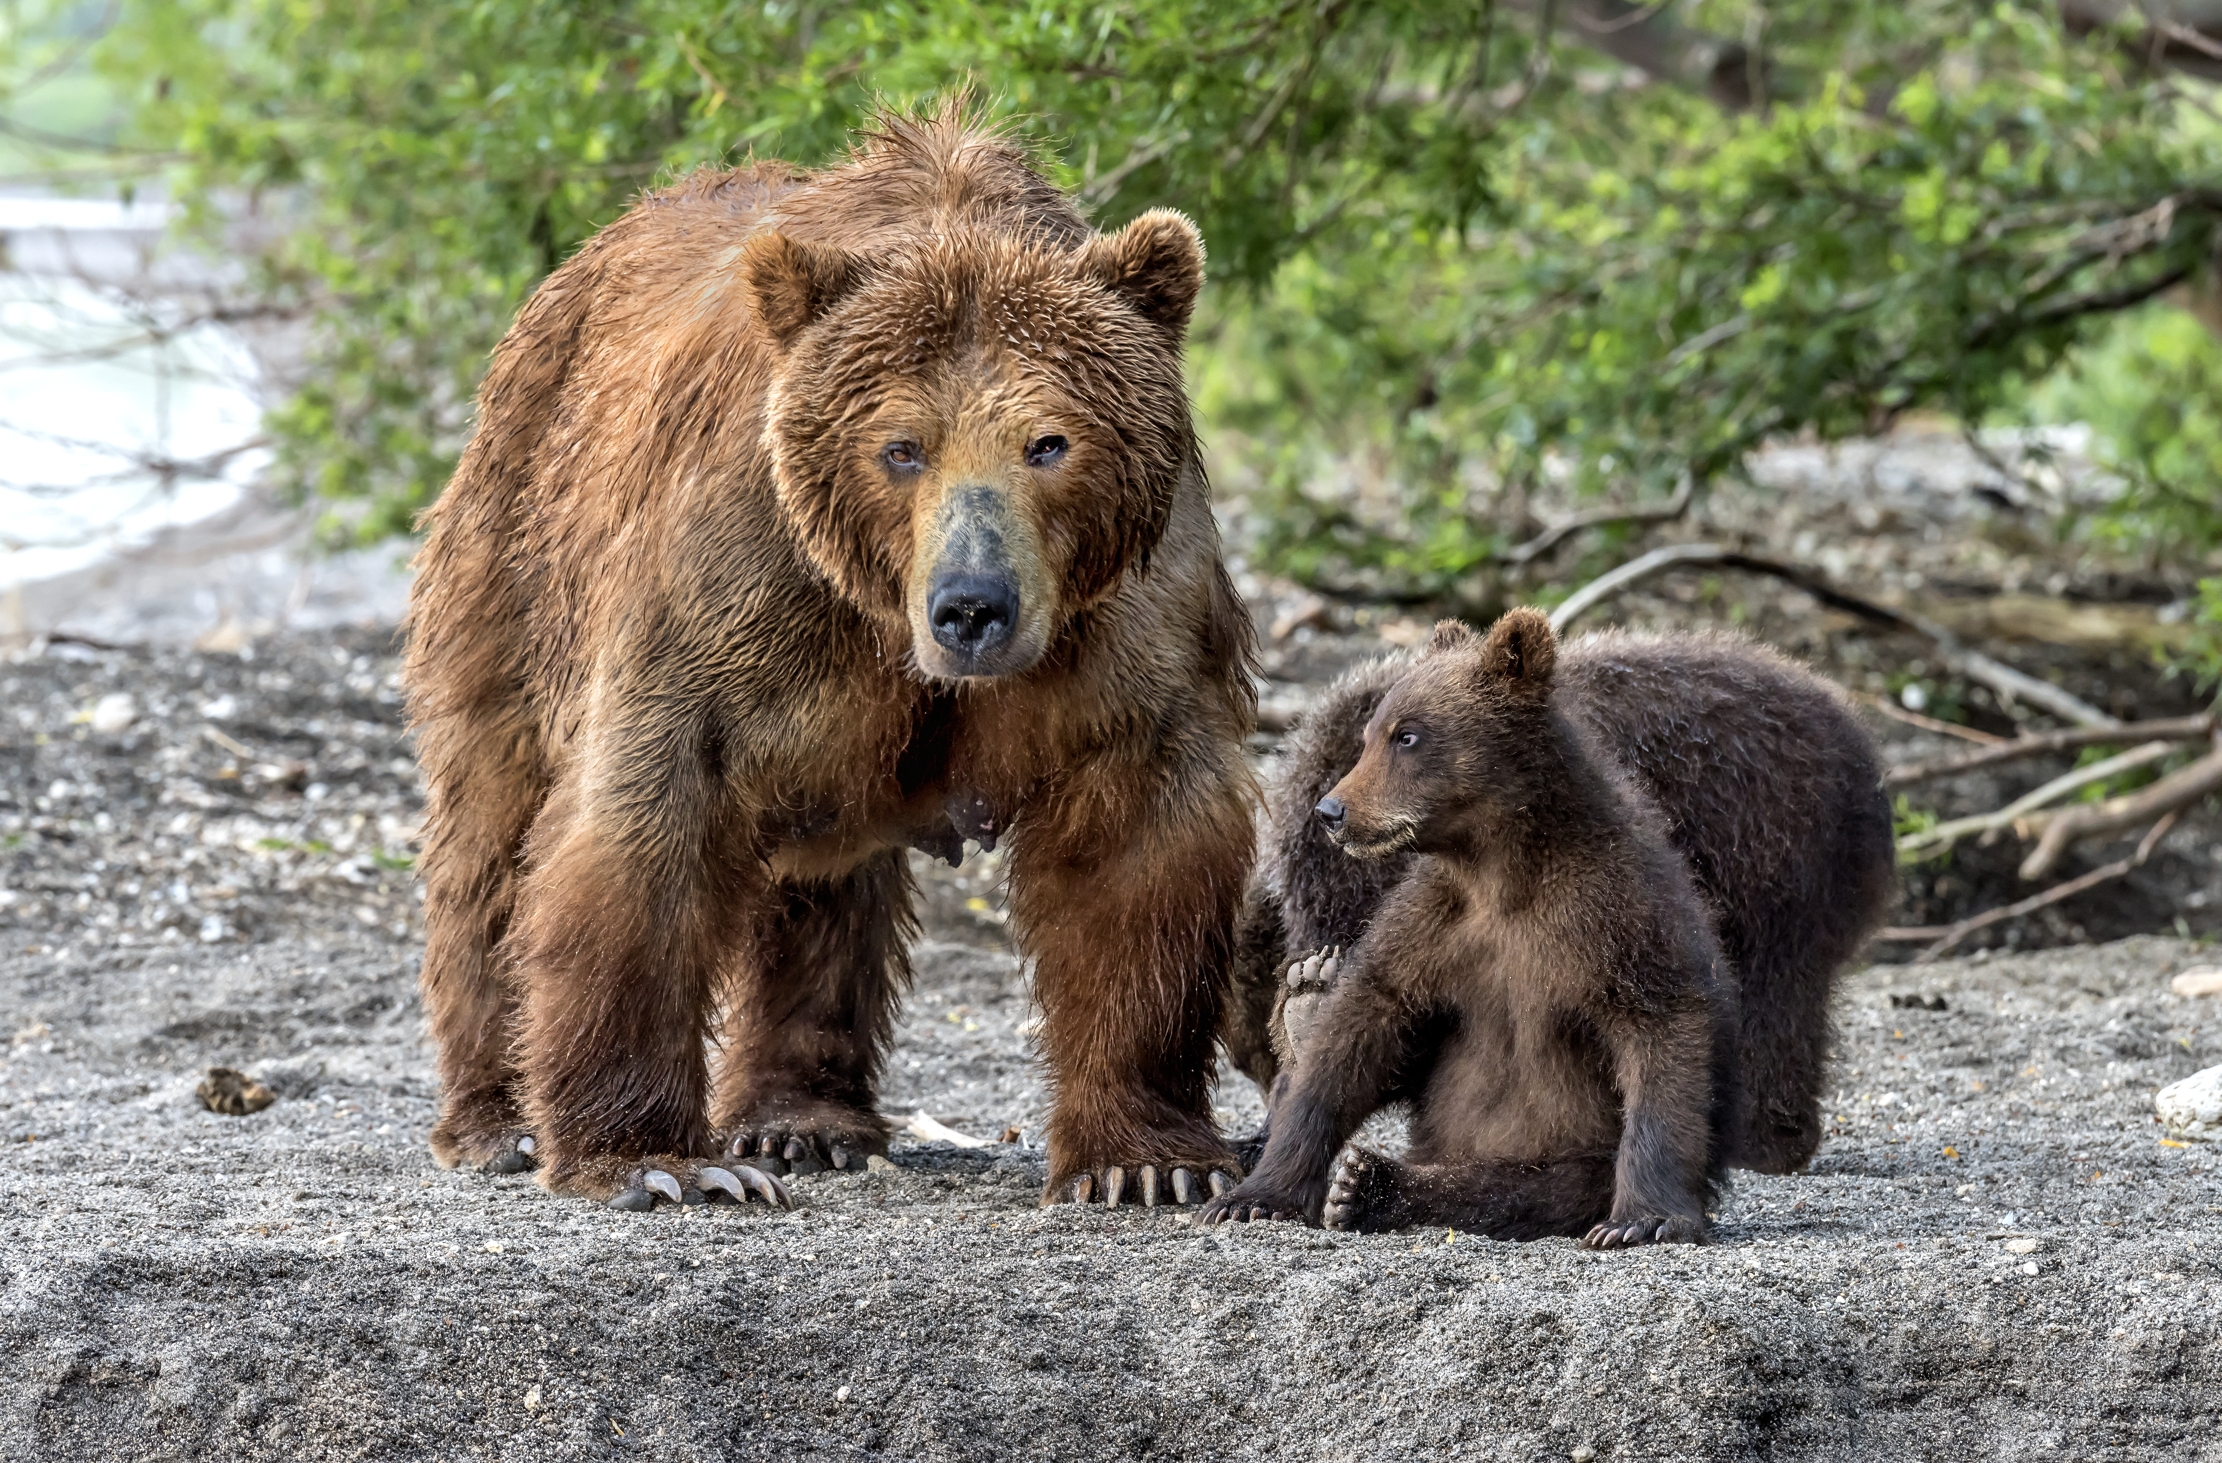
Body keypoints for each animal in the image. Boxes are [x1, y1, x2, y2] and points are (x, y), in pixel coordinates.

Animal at [402, 102, 1257, 1210]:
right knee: (491, 827)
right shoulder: (737, 583)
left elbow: (1137, 848)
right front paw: (661, 1160)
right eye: (900, 446)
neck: (885, 619)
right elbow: (639, 832)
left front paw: (1146, 1159)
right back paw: (494, 1116)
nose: (971, 607)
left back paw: (800, 1118)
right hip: (515, 551)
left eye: (1049, 441)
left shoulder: (1122, 622)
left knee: (823, 877)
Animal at [1203, 610, 1897, 1240]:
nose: (1332, 811)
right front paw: (1260, 1182)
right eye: (1376, 738)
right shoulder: (1428, 926)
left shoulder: (1617, 912)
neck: (1504, 874)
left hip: (1772, 856)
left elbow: (1665, 1026)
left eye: (1408, 738)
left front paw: (1646, 1217)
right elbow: (1368, 1027)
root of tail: (1866, 753)